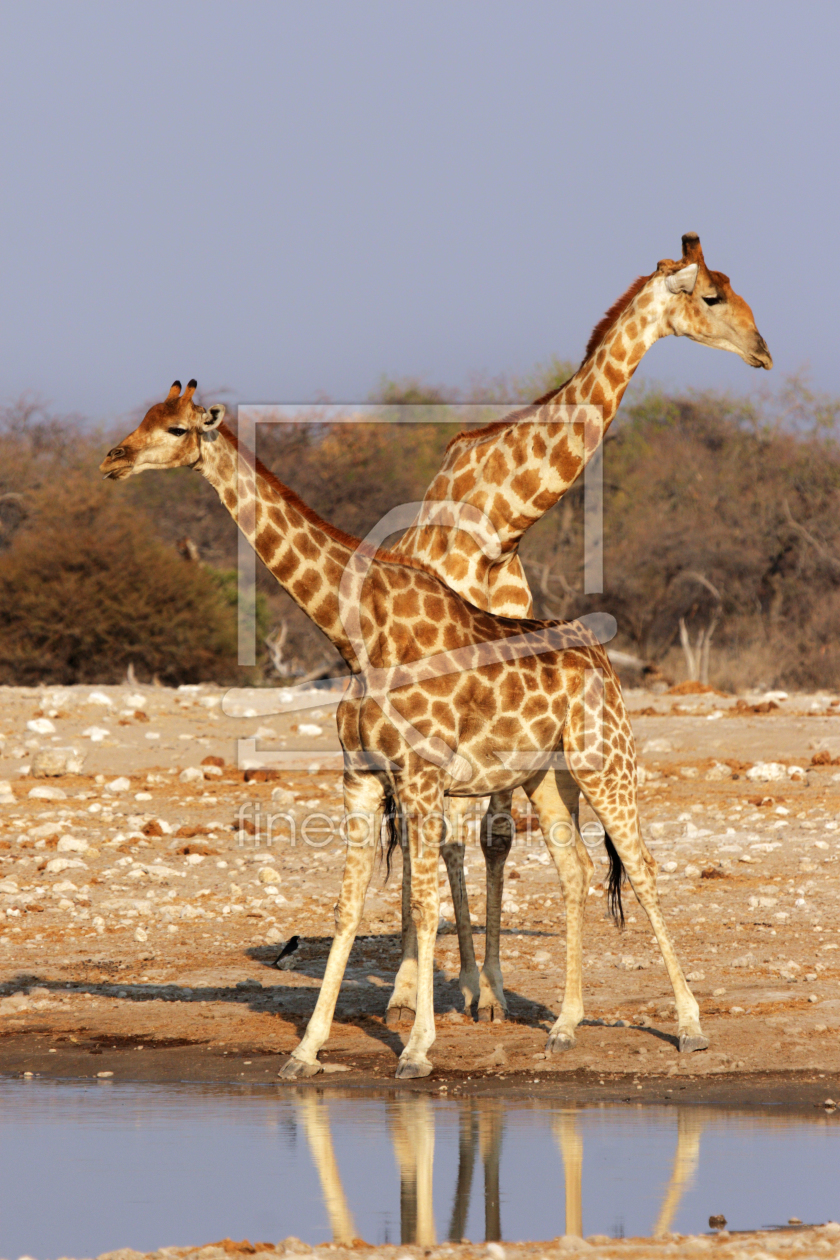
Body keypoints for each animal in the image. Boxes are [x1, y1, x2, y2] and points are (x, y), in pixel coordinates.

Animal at [103, 380, 710, 1073]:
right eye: (145, 417)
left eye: (176, 429)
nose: (114, 459)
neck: (356, 636)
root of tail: (604, 662)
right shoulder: (361, 776)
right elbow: (346, 906)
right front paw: (307, 1050)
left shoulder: (420, 776)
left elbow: (423, 902)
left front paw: (417, 1048)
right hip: (546, 778)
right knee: (575, 867)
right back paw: (564, 1026)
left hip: (605, 761)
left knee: (643, 867)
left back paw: (690, 1026)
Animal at [387, 231, 775, 1023]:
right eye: (712, 296)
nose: (763, 351)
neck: (498, 524)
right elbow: (450, 839)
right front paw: (439, 984)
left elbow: (497, 836)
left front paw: (490, 990)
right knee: (419, 833)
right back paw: (410, 984)